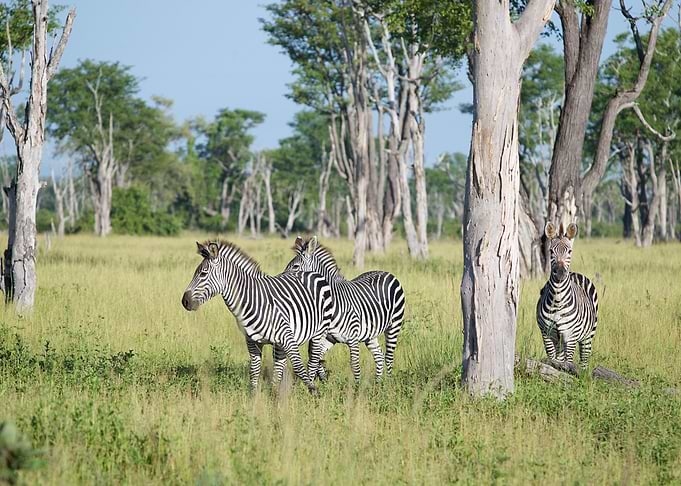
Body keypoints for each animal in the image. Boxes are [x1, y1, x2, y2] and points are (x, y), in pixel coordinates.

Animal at [181, 240, 334, 394]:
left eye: (203, 274)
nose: (184, 302)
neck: (253, 301)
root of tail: (312, 273)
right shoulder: (252, 342)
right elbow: (254, 370)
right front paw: (254, 396)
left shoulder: (288, 338)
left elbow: (298, 367)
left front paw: (313, 391)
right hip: (281, 344)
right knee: (280, 367)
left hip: (319, 332)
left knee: (313, 360)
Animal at [284, 236, 405, 382]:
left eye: (295, 266)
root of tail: (386, 272)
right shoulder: (329, 337)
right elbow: (316, 360)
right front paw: (322, 380)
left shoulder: (353, 338)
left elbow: (355, 365)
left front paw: (357, 387)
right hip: (370, 334)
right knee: (379, 355)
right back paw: (378, 383)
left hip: (394, 325)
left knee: (388, 357)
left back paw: (388, 383)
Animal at [536, 222, 599, 369]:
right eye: (551, 251)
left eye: (569, 251)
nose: (560, 272)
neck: (557, 300)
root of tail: (575, 273)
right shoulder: (547, 334)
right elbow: (553, 360)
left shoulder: (570, 336)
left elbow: (568, 363)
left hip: (588, 335)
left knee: (584, 360)